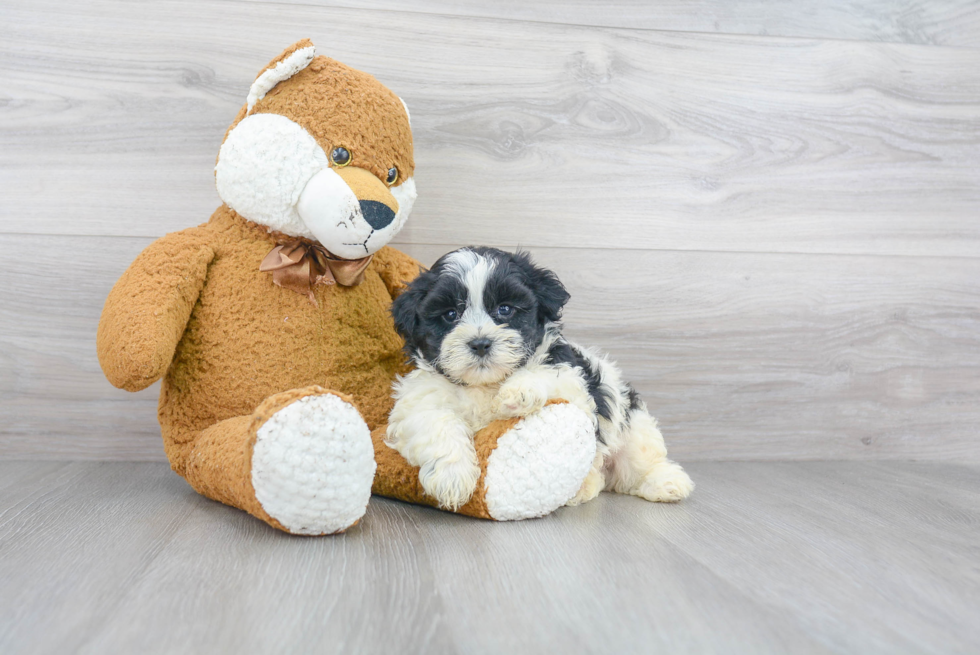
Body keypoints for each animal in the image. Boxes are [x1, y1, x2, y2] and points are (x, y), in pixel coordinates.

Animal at [386, 249, 692, 510]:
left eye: (505, 309)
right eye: (450, 314)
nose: (480, 343)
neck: (485, 384)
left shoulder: (571, 377)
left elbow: (545, 373)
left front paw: (516, 393)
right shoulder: (421, 399)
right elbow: (436, 422)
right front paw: (452, 479)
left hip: (632, 426)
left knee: (640, 460)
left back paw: (666, 482)